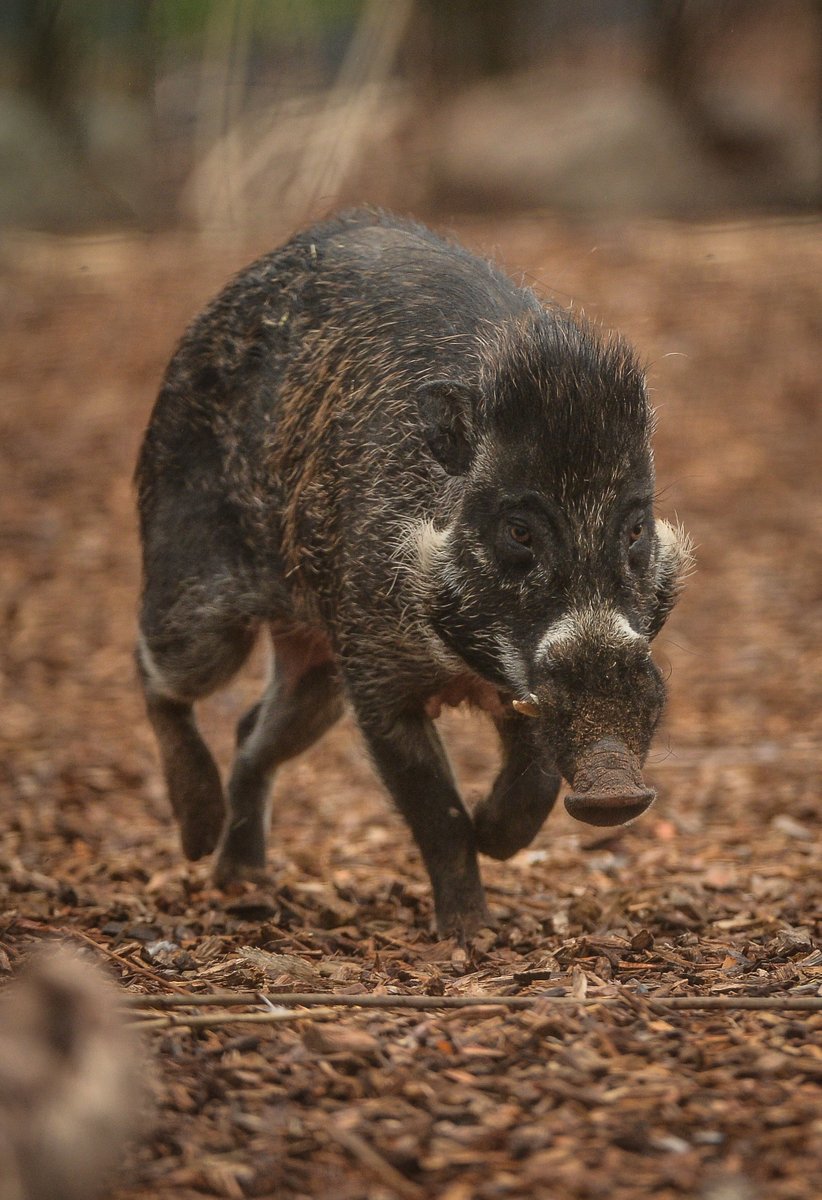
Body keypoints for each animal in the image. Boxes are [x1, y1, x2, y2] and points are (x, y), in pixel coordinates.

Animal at [136, 209, 693, 939]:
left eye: (633, 528)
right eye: (520, 530)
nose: (615, 788)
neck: (465, 669)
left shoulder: (501, 692)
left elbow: (534, 783)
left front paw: (494, 839)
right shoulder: (378, 680)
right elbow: (437, 813)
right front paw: (472, 933)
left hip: (318, 671)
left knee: (253, 732)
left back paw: (243, 878)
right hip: (198, 599)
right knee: (158, 675)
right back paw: (198, 840)